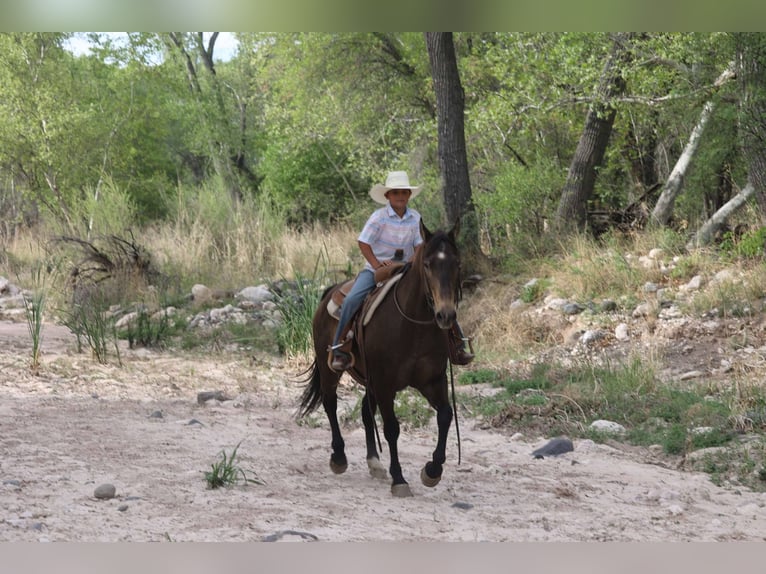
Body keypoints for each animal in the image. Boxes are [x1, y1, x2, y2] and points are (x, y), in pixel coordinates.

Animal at [298, 218, 462, 497]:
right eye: (427, 264)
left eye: (456, 263)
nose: (446, 315)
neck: (412, 325)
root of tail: (330, 291)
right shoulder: (386, 385)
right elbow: (392, 428)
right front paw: (399, 479)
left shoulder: (432, 381)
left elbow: (445, 415)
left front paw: (432, 471)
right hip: (330, 368)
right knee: (330, 403)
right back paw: (339, 457)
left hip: (370, 380)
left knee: (365, 411)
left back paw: (374, 463)